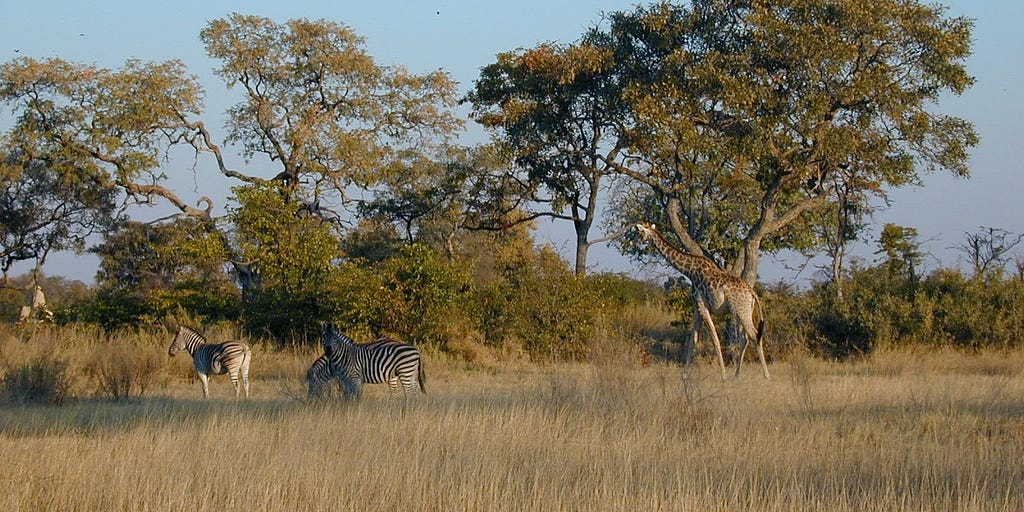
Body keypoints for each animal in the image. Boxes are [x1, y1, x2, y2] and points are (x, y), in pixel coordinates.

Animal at [630, 222, 770, 378]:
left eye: (639, 232)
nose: (631, 241)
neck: (689, 271)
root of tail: (752, 293)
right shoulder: (697, 307)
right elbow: (693, 339)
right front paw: (684, 375)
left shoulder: (702, 305)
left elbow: (714, 339)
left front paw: (723, 376)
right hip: (744, 311)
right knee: (745, 339)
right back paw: (737, 376)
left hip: (741, 311)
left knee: (754, 335)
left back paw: (766, 376)